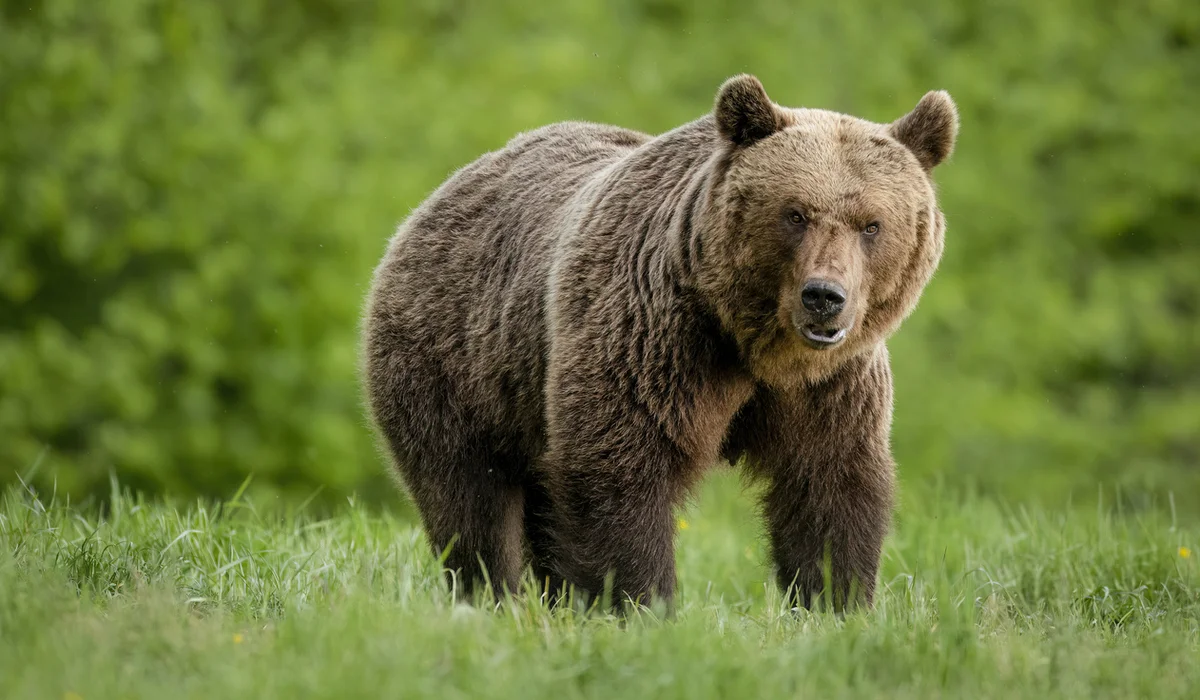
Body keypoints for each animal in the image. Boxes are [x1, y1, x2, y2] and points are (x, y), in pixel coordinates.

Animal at [362, 74, 957, 611]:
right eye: (795, 213)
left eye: (871, 224)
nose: (824, 297)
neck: (755, 345)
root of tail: (444, 191)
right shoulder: (653, 338)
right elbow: (619, 468)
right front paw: (641, 602)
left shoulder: (829, 385)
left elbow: (829, 486)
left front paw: (837, 602)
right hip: (452, 360)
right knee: (468, 499)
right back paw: (490, 596)